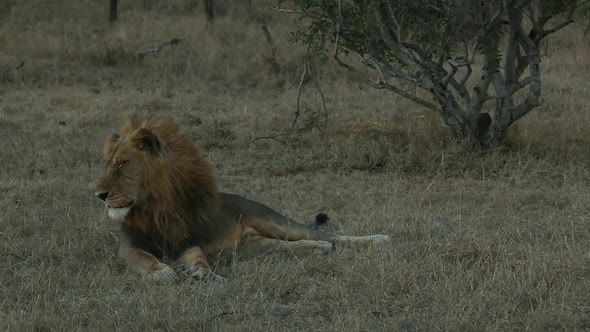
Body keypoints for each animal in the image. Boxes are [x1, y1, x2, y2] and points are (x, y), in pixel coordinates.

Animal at [96, 115, 394, 282]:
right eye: (106, 164)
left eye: (122, 164)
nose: (100, 195)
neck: (154, 206)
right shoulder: (129, 247)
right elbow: (144, 258)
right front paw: (162, 271)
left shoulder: (186, 242)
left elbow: (197, 257)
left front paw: (205, 273)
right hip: (254, 244)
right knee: (292, 245)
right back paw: (320, 248)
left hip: (277, 222)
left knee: (331, 235)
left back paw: (378, 239)